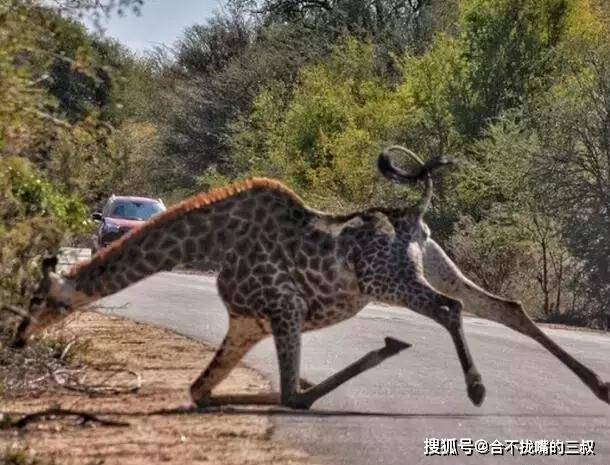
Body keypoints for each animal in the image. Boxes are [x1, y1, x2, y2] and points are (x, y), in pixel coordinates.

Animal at [9, 146, 608, 410]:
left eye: (38, 299)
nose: (17, 339)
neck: (210, 242)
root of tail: (414, 212)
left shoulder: (283, 309)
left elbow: (292, 396)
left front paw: (388, 348)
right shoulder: (247, 321)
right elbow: (204, 390)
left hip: (391, 281)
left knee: (450, 310)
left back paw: (477, 388)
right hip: (436, 262)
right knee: (503, 306)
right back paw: (598, 387)